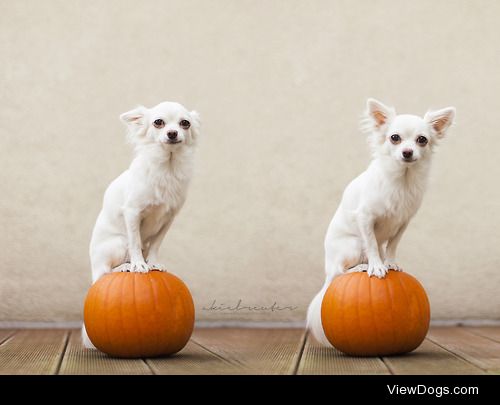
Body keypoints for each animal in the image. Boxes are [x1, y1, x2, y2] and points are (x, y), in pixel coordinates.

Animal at [82, 100, 199, 348]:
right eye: (158, 122)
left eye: (185, 123)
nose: (172, 133)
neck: (168, 166)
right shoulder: (133, 213)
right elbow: (136, 242)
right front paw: (138, 265)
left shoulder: (169, 217)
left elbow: (155, 244)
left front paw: (152, 263)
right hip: (117, 244)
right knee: (106, 272)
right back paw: (124, 267)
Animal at [306, 98, 456, 344]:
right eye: (394, 137)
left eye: (422, 140)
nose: (407, 152)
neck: (402, 180)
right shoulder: (365, 218)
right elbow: (372, 244)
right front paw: (376, 266)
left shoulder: (404, 222)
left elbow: (392, 245)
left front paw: (390, 263)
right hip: (351, 246)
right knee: (341, 270)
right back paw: (360, 266)